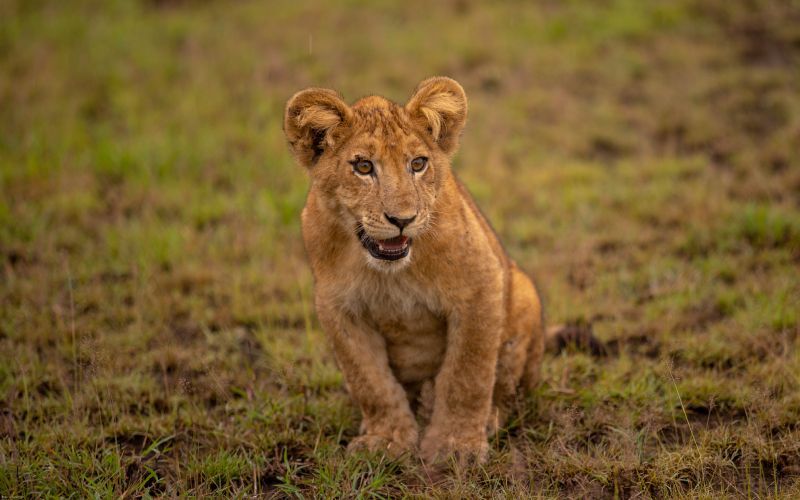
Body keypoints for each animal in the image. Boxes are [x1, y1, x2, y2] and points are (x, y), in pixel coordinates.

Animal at [282, 77, 544, 465]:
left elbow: (468, 374)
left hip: (524, 292)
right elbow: (370, 381)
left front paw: (456, 446)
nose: (402, 219)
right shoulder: (337, 308)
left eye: (418, 163)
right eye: (363, 167)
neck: (390, 273)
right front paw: (386, 439)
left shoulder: (481, 285)